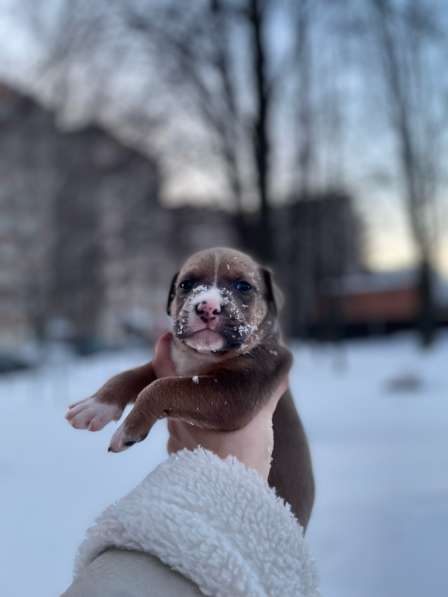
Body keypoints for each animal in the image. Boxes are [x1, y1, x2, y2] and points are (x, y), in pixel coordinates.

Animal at [65, 249, 316, 528]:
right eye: (186, 284)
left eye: (243, 286)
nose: (207, 306)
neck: (201, 356)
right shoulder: (166, 363)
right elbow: (132, 376)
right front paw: (97, 404)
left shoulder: (239, 391)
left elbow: (163, 387)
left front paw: (128, 429)